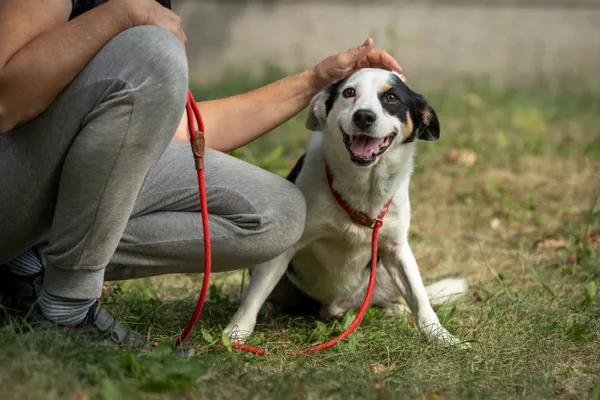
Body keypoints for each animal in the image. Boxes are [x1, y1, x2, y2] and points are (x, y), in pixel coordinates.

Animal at [225, 67, 468, 346]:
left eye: (392, 98)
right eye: (349, 92)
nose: (364, 116)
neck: (363, 185)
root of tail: (335, 304)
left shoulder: (396, 248)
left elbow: (421, 300)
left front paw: (443, 337)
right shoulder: (285, 247)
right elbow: (252, 299)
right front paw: (234, 334)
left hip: (383, 273)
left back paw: (394, 309)